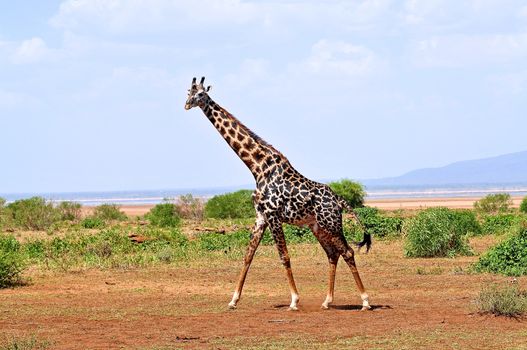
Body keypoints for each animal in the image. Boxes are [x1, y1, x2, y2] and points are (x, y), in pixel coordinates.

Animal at [185, 77, 372, 312]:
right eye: (188, 92)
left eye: (200, 94)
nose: (187, 104)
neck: (257, 167)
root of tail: (340, 200)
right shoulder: (261, 216)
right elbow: (248, 256)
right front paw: (233, 300)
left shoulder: (273, 215)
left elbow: (284, 256)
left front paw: (294, 300)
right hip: (317, 226)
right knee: (332, 254)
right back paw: (327, 301)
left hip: (331, 224)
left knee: (347, 252)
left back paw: (365, 301)